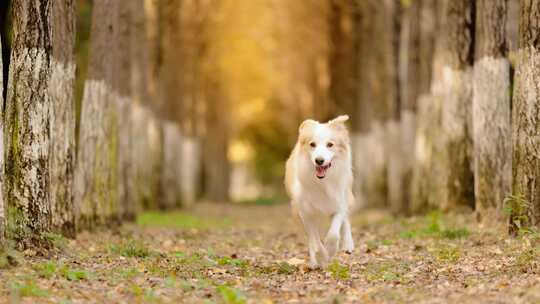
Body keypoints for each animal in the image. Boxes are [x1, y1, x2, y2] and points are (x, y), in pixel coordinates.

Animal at [282, 114, 354, 268]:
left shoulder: (338, 204)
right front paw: (321, 257)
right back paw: (315, 262)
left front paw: (331, 250)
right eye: (312, 144)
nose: (319, 160)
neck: (322, 182)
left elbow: (334, 233)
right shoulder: (305, 212)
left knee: (346, 218)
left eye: (330, 144)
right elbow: (314, 240)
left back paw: (348, 245)